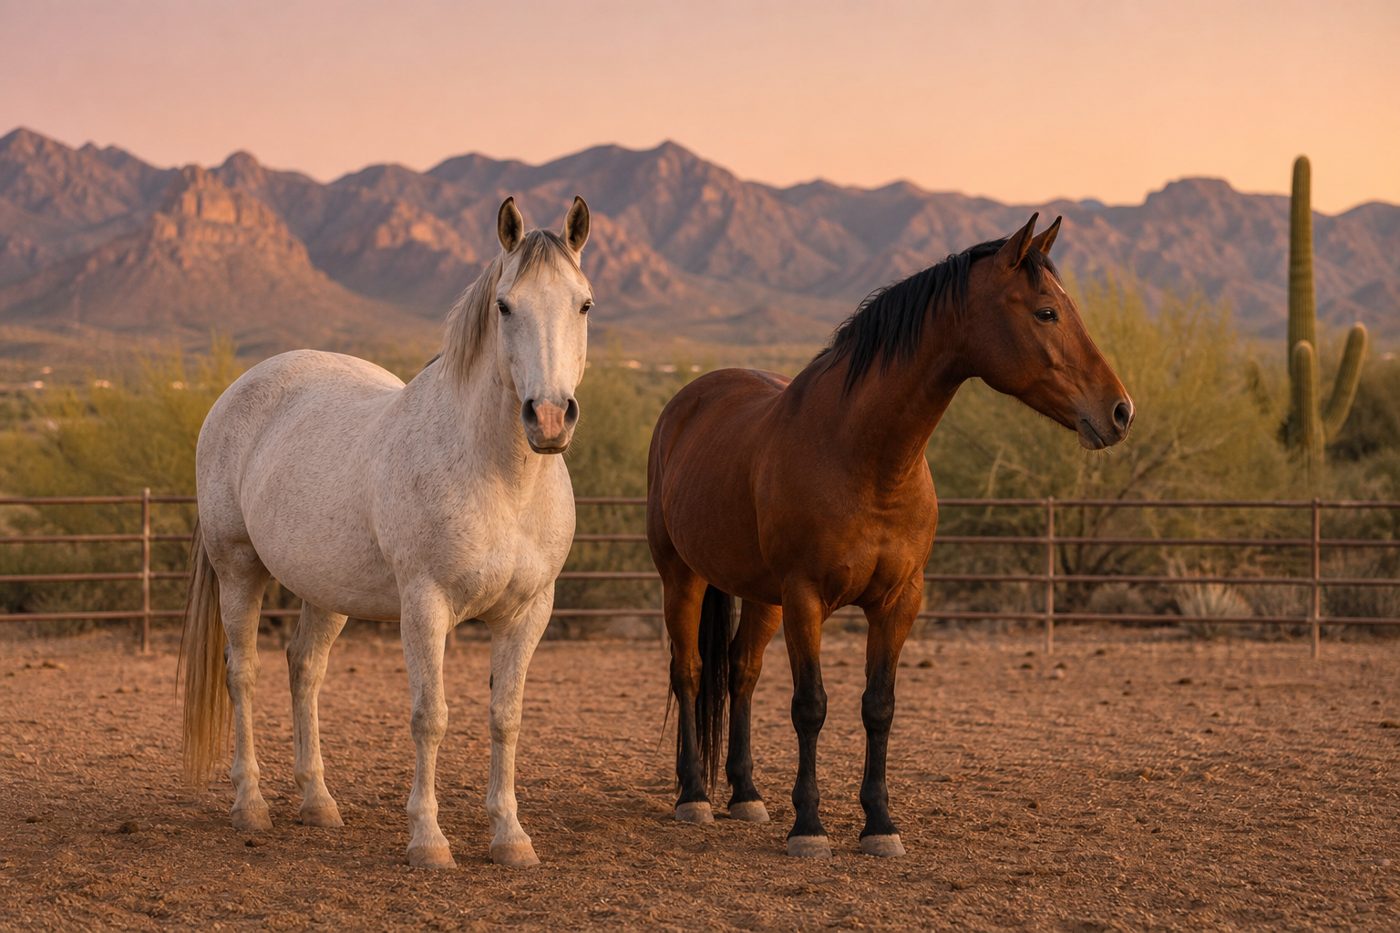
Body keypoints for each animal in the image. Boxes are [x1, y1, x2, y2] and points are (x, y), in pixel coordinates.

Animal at [179, 196, 593, 869]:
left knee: (304, 669)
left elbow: (505, 717)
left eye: (584, 303)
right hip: (237, 569)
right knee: (243, 674)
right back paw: (252, 805)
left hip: (325, 591)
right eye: (505, 305)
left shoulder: (529, 611)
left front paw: (511, 836)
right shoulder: (425, 605)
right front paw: (428, 840)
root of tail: (239, 390)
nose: (550, 418)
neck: (499, 478)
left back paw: (318, 803)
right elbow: (430, 716)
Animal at [646, 215, 1133, 858]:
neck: (864, 457)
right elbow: (810, 706)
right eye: (1047, 312)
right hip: (683, 577)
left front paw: (879, 824)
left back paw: (746, 796)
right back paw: (693, 796)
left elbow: (879, 707)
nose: (1121, 411)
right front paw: (809, 828)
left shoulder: (899, 601)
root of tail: (686, 401)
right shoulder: (806, 597)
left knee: (741, 674)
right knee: (691, 672)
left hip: (759, 596)